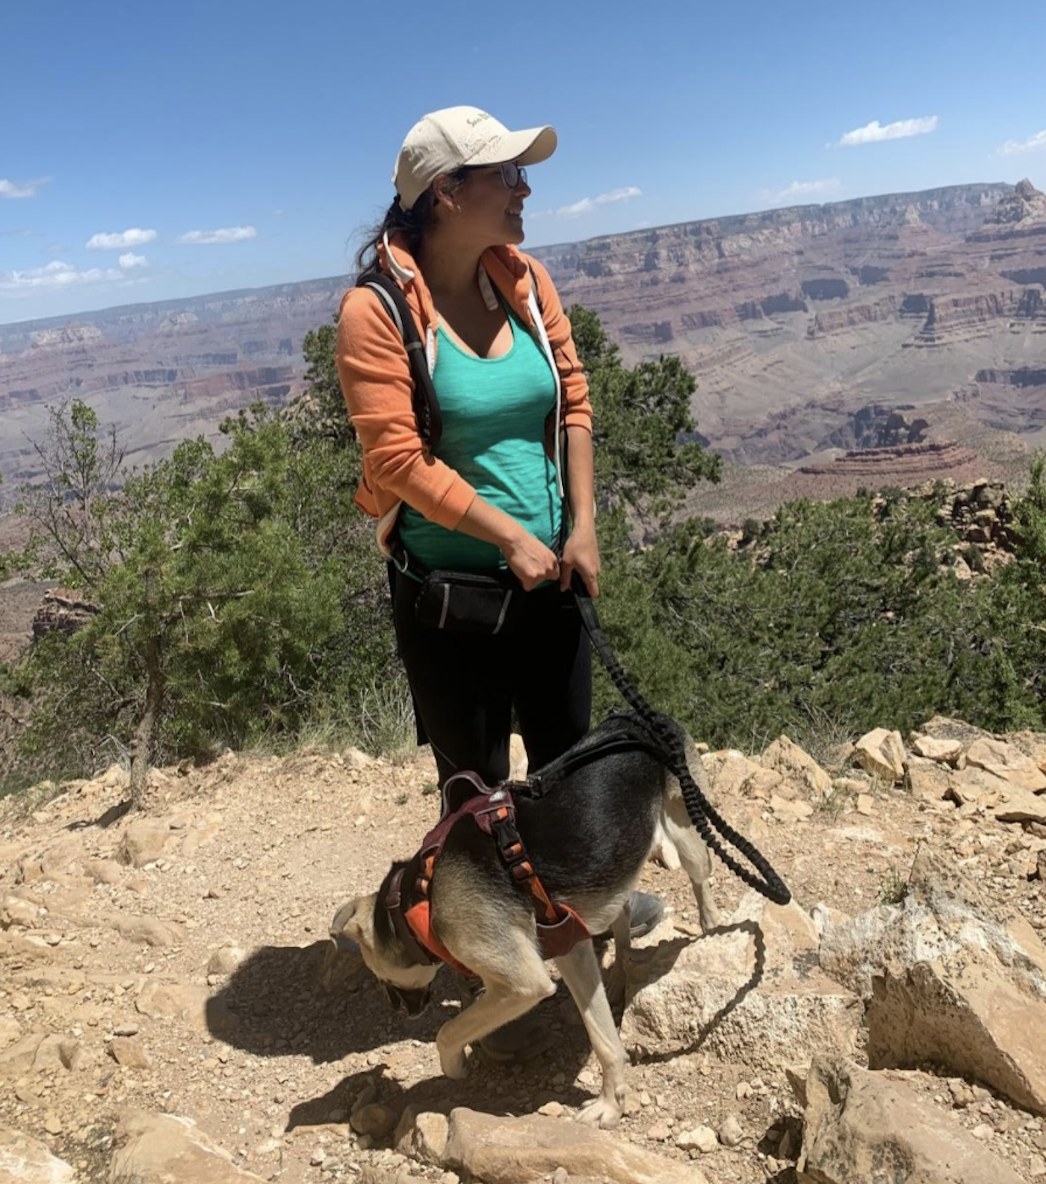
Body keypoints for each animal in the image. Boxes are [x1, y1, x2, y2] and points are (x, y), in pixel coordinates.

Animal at [329, 710, 720, 1127]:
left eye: (379, 976)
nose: (400, 1011)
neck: (421, 897)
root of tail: (642, 715)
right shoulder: (571, 948)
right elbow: (604, 1038)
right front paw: (611, 1102)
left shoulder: (522, 985)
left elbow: (448, 1031)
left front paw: (454, 1066)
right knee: (623, 912)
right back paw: (618, 975)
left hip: (686, 835)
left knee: (702, 881)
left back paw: (713, 930)